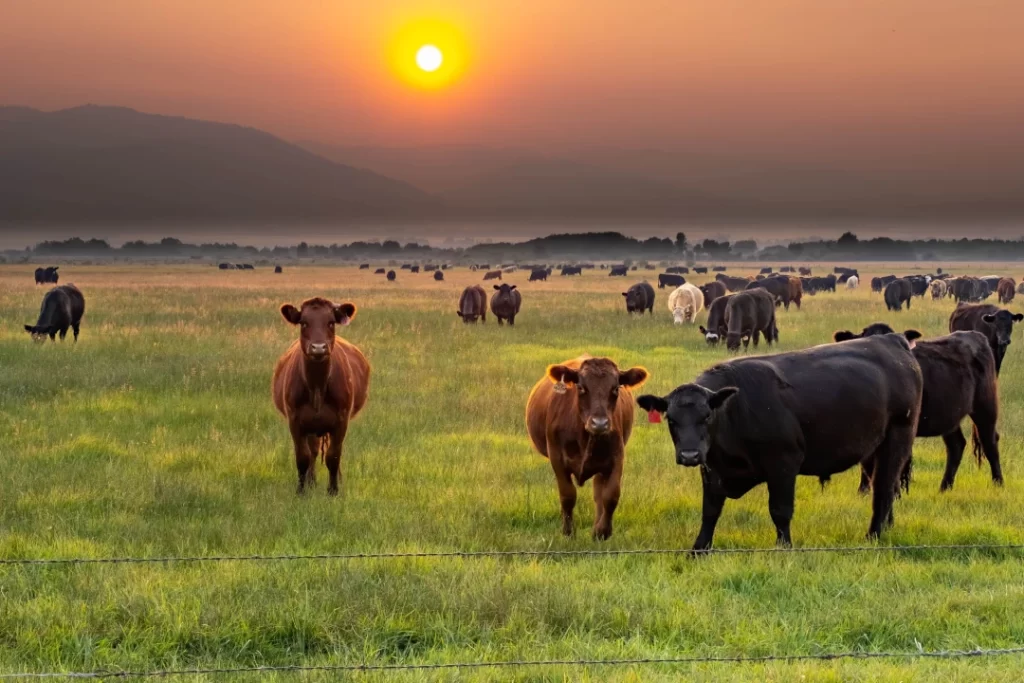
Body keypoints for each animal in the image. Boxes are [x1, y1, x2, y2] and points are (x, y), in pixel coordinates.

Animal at [272, 298, 370, 496]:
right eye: (304, 323)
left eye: (331, 323)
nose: (318, 348)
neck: (317, 387)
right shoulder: (295, 420)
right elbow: (302, 457)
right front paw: (301, 491)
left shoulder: (341, 420)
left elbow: (334, 456)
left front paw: (333, 490)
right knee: (313, 451)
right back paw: (311, 481)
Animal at [525, 355, 649, 539]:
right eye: (581, 387)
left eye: (615, 389)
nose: (600, 423)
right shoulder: (557, 458)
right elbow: (567, 495)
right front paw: (568, 532)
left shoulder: (617, 457)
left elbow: (610, 495)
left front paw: (602, 531)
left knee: (598, 493)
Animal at [636, 332, 922, 549]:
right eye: (671, 419)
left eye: (706, 416)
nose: (689, 455)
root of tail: (891, 339)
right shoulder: (712, 470)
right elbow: (710, 511)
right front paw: (698, 550)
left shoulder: (783, 464)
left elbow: (780, 511)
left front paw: (784, 548)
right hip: (873, 448)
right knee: (883, 485)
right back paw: (886, 527)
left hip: (898, 437)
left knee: (884, 487)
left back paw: (873, 535)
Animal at [833, 324, 1001, 492]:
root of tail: (975, 335)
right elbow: (867, 462)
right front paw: (863, 491)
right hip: (949, 417)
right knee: (956, 445)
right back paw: (944, 487)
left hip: (985, 407)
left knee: (990, 442)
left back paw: (998, 482)